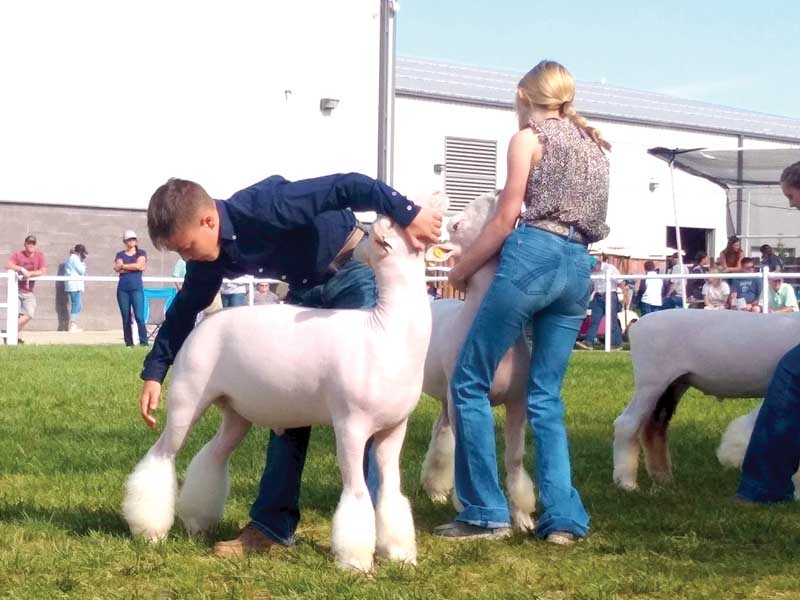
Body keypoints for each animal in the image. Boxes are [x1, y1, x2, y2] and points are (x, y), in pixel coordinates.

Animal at [422, 192, 536, 528]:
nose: (496, 193)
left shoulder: (517, 400)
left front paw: (522, 516)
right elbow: (466, 451)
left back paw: (435, 491)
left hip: (445, 394)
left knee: (440, 431)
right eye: (456, 225)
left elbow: (514, 458)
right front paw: (467, 506)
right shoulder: (464, 397)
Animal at [612, 308, 800, 490]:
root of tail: (637, 326)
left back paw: (663, 479)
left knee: (655, 426)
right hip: (651, 381)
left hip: (675, 383)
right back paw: (627, 483)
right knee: (627, 423)